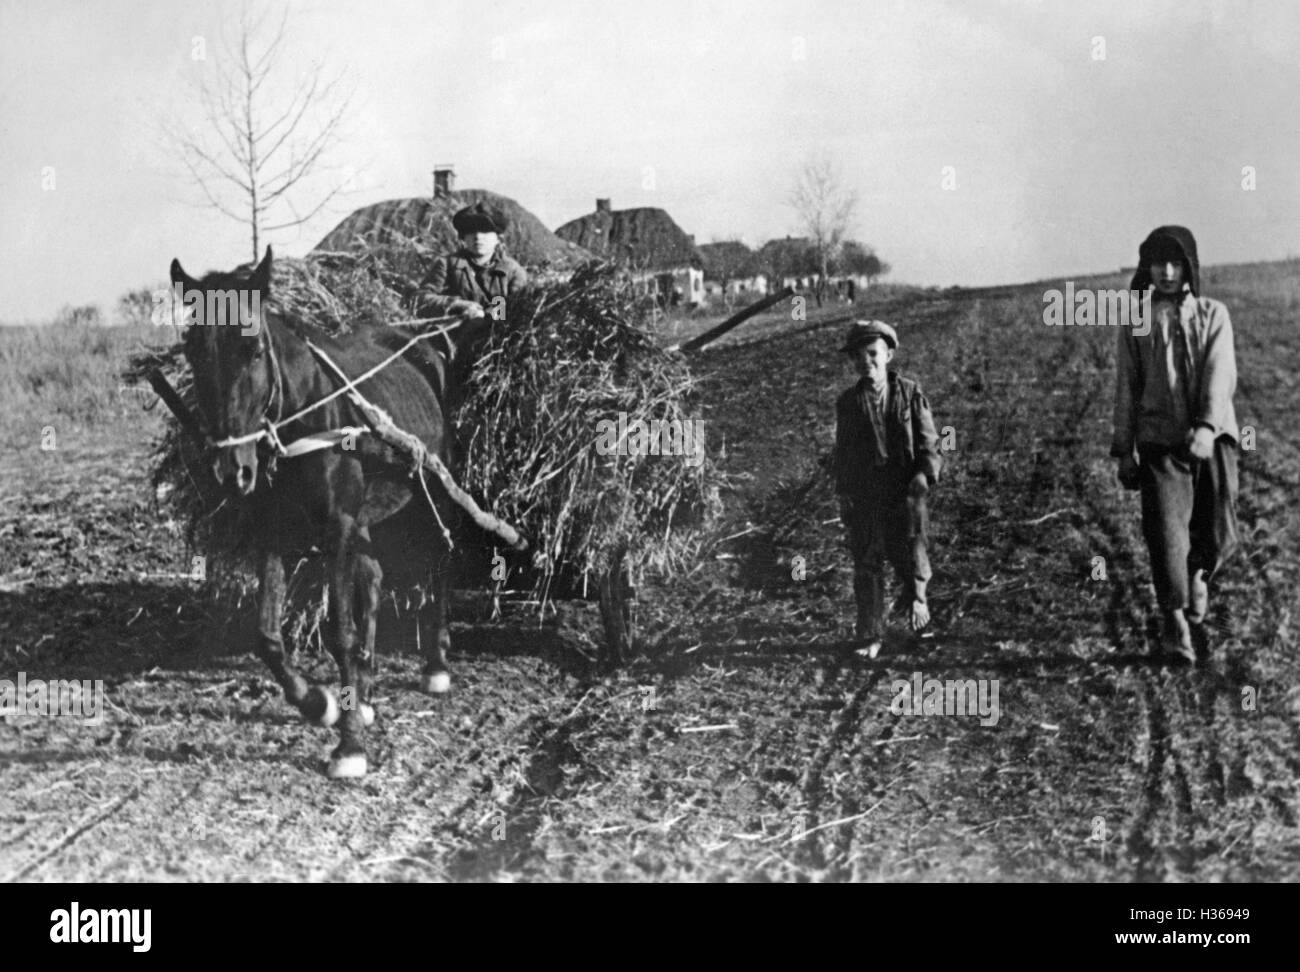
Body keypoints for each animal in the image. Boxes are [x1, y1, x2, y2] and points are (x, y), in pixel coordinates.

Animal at [167, 246, 462, 779]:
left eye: (253, 350)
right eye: (194, 352)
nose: (232, 471)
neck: (303, 418)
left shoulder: (338, 529)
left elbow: (340, 633)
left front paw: (350, 745)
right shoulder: (274, 530)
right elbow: (267, 636)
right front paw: (320, 703)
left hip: (433, 489)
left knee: (440, 563)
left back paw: (435, 664)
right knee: (374, 578)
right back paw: (365, 691)